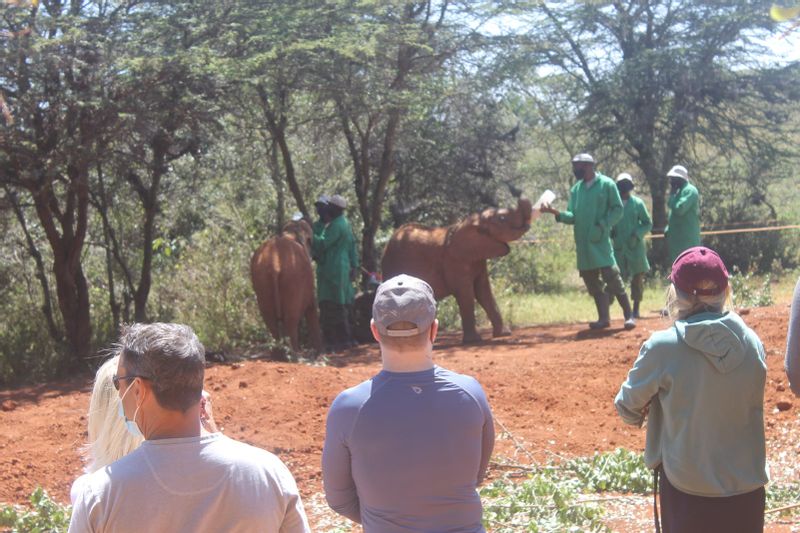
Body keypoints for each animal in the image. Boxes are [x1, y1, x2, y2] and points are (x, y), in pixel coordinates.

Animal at [252, 220, 324, 358]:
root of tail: (274, 265)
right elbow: (311, 308)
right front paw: (320, 353)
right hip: (293, 280)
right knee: (291, 319)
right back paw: (295, 356)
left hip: (262, 281)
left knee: (269, 319)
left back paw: (278, 355)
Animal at [382, 197, 532, 342]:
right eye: (502, 218)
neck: (468, 222)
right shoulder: (454, 261)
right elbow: (466, 294)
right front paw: (473, 341)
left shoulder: (477, 258)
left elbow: (484, 292)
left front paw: (504, 334)